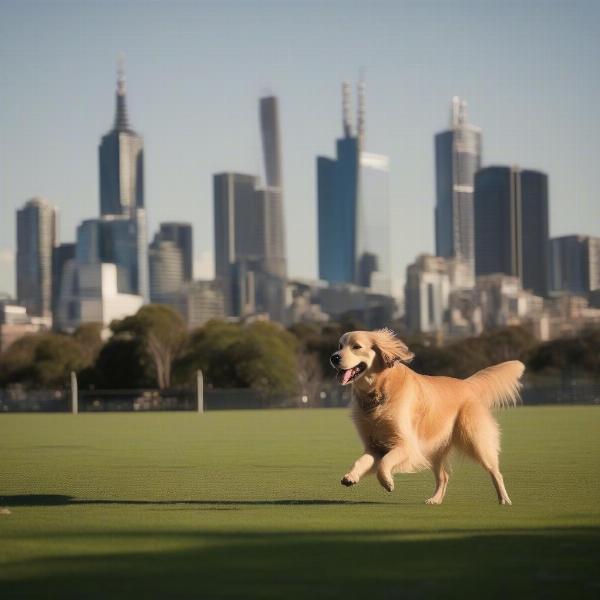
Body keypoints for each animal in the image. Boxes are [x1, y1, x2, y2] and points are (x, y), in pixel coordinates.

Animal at [330, 330, 524, 504]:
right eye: (340, 346)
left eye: (356, 346)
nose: (334, 358)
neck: (379, 391)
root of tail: (467, 384)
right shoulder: (374, 446)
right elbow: (361, 461)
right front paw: (351, 476)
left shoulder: (407, 446)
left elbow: (384, 464)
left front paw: (387, 482)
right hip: (436, 449)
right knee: (444, 476)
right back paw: (435, 500)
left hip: (475, 440)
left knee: (495, 471)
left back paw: (504, 499)